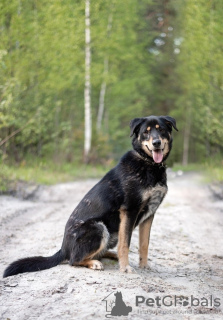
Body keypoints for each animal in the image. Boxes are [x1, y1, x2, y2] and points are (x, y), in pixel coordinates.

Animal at [3, 115, 178, 278]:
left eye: (161, 129)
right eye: (145, 132)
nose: (156, 143)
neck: (149, 164)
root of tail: (63, 249)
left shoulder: (149, 214)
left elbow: (144, 244)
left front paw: (144, 265)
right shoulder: (129, 211)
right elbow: (125, 244)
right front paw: (125, 268)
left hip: (111, 234)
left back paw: (111, 256)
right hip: (99, 228)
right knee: (73, 260)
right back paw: (94, 263)